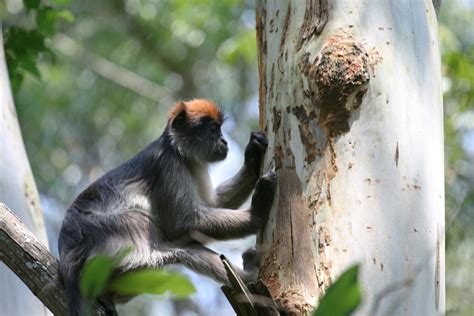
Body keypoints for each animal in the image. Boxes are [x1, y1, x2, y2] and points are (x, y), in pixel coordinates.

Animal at [57, 99, 278, 316]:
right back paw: (250, 277)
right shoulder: (168, 164)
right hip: (113, 245)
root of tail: (67, 249)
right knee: (178, 248)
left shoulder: (192, 163)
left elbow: (211, 205)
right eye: (214, 129)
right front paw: (257, 213)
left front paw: (253, 157)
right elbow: (181, 224)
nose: (224, 141)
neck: (175, 148)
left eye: (220, 130)